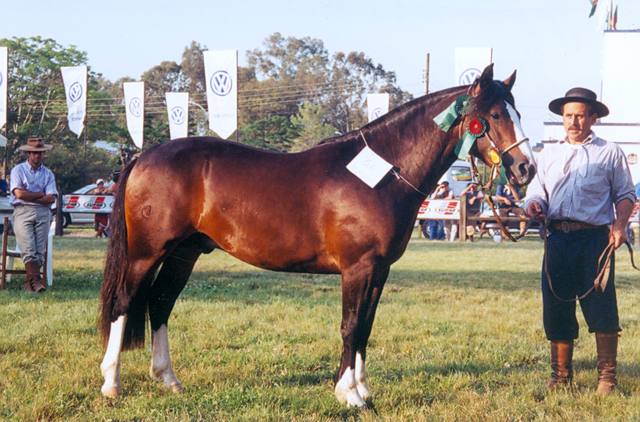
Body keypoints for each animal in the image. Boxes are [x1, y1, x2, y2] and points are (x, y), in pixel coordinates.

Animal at [97, 64, 536, 408]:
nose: (525, 168)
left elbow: (366, 326)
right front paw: (349, 394)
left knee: (161, 303)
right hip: (146, 253)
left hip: (183, 253)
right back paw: (111, 383)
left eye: (516, 112)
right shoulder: (357, 268)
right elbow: (350, 325)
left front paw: (363, 389)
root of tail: (144, 156)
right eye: (495, 114)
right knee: (125, 302)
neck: (383, 172)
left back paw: (169, 380)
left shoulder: (379, 270)